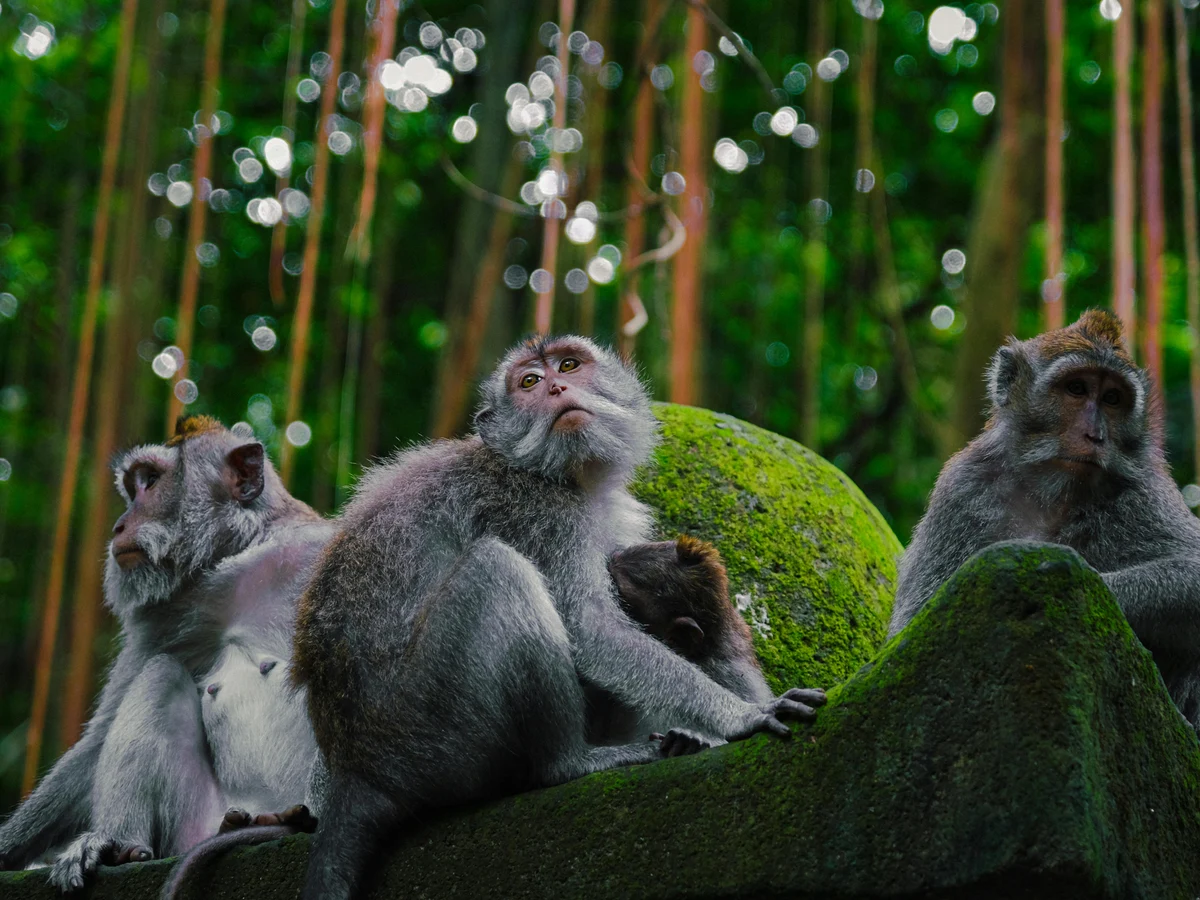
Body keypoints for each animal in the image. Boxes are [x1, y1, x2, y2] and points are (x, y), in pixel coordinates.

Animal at [0, 416, 331, 891]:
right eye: (132, 487)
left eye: (151, 482)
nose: (118, 526)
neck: (245, 556)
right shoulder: (167, 616)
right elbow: (99, 739)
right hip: (194, 824)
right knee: (160, 676)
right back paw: (118, 846)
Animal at [290, 335, 826, 900]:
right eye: (528, 382)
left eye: (569, 365)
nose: (554, 387)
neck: (558, 474)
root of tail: (357, 769)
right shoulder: (540, 512)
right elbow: (591, 629)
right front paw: (742, 716)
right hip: (425, 729)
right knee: (497, 571)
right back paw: (569, 762)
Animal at [889, 309, 1200, 730]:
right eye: (1076, 389)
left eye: (1112, 398)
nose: (1096, 435)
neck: (1052, 492)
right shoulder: (961, 489)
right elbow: (913, 627)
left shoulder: (1146, 491)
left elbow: (1192, 573)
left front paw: (1061, 576)